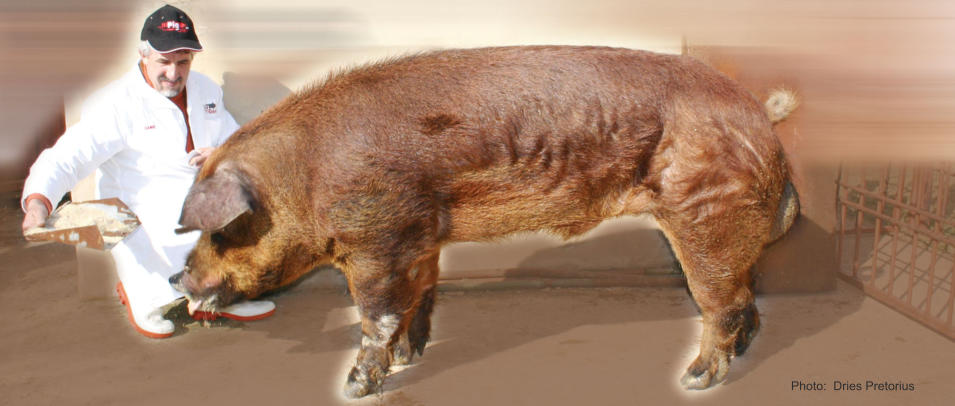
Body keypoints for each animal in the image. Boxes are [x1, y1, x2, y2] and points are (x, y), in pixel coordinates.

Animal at [169, 46, 799, 398]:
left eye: (221, 230)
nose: (179, 277)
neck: (303, 180)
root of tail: (762, 119)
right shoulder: (419, 237)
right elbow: (420, 296)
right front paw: (409, 358)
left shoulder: (375, 240)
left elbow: (375, 316)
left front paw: (355, 387)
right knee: (746, 296)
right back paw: (740, 356)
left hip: (705, 215)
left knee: (718, 302)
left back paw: (695, 381)